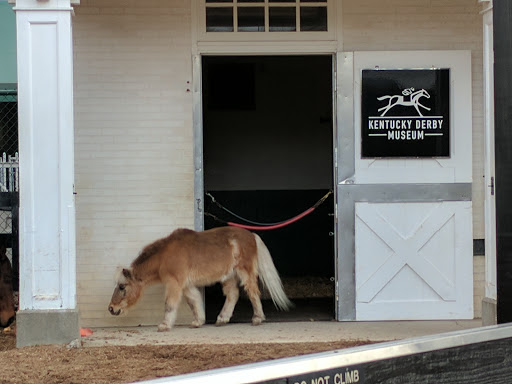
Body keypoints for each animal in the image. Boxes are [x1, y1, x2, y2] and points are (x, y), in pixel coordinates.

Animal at [108, 226, 292, 332]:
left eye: (122, 287)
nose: (111, 309)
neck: (165, 255)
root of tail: (252, 235)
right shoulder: (186, 285)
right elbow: (194, 301)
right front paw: (198, 321)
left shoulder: (174, 284)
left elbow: (170, 305)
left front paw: (164, 325)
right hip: (229, 276)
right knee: (233, 295)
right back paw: (222, 319)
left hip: (244, 272)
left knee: (252, 292)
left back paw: (257, 318)